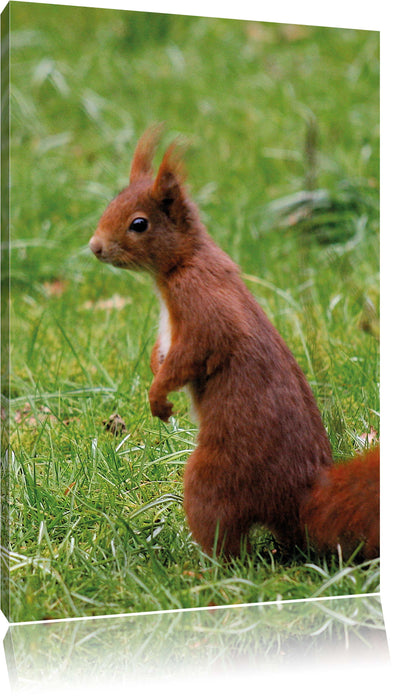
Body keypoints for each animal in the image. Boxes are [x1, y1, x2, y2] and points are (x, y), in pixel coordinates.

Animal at [89, 125, 379, 560]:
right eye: (111, 202)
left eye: (139, 223)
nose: (95, 247)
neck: (182, 264)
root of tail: (300, 498)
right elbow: (163, 354)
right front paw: (156, 376)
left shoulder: (204, 310)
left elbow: (191, 355)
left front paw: (158, 397)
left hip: (215, 478)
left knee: (224, 539)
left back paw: (200, 566)